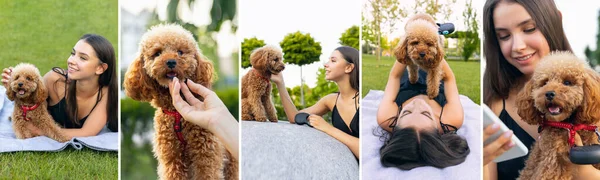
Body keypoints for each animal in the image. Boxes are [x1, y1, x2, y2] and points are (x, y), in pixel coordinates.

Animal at [123, 24, 238, 180]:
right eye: (157, 53)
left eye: (180, 52)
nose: (171, 62)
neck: (177, 114)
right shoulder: (171, 157)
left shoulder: (206, 154)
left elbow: (207, 173)